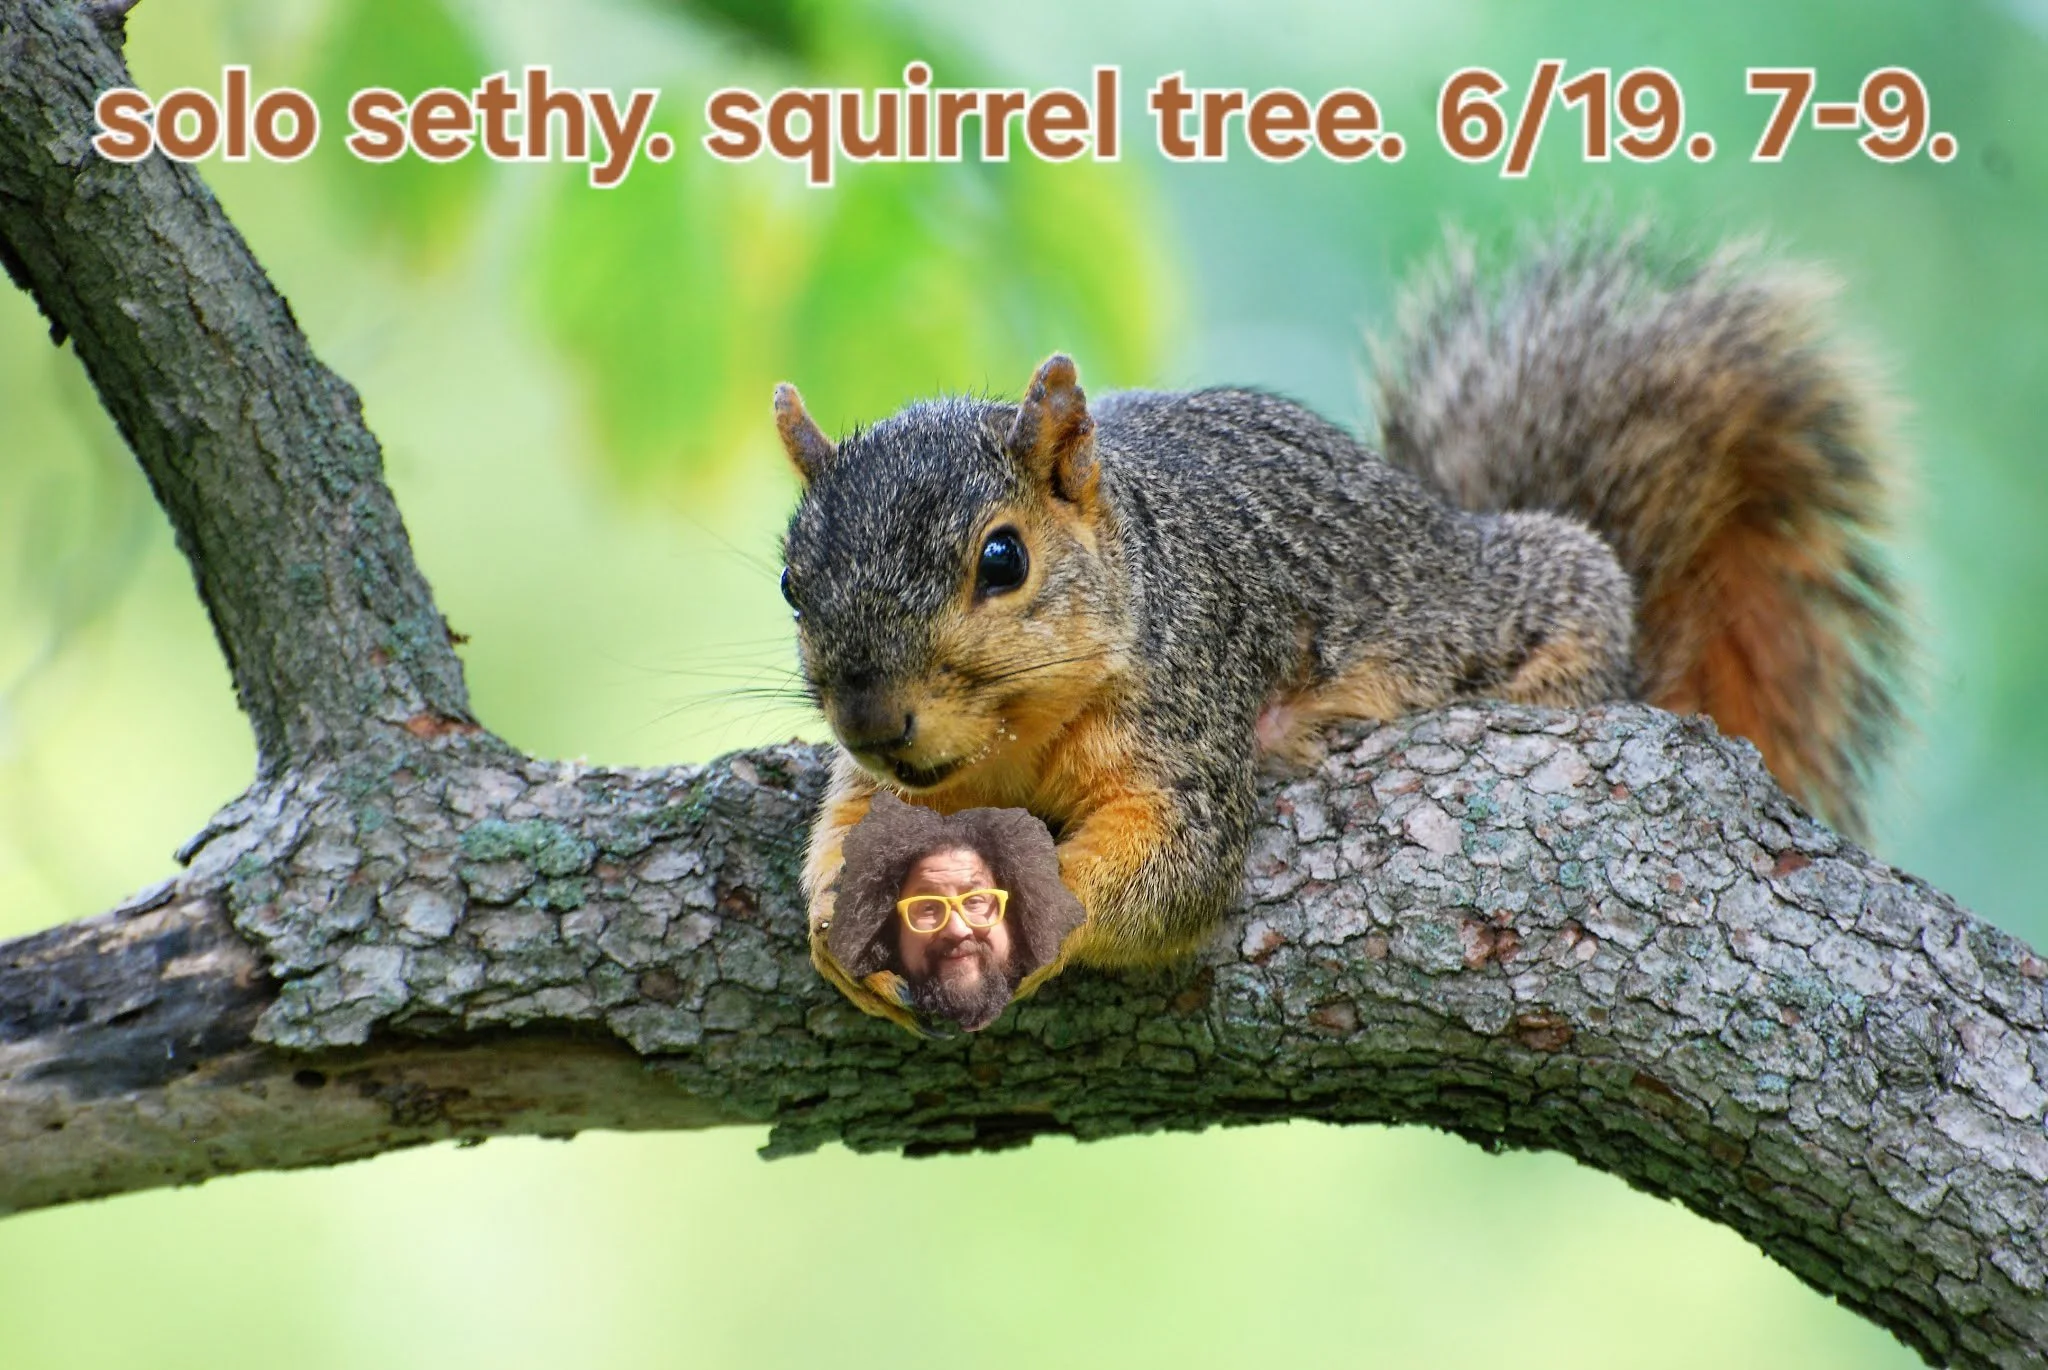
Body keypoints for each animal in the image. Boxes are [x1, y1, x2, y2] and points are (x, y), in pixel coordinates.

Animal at [772, 229, 1905, 1033]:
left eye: (1002, 560)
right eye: (789, 581)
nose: (873, 717)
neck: (1013, 738)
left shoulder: (1187, 724)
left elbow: (1168, 866)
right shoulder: (893, 779)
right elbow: (850, 826)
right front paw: (835, 923)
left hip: (1503, 602)